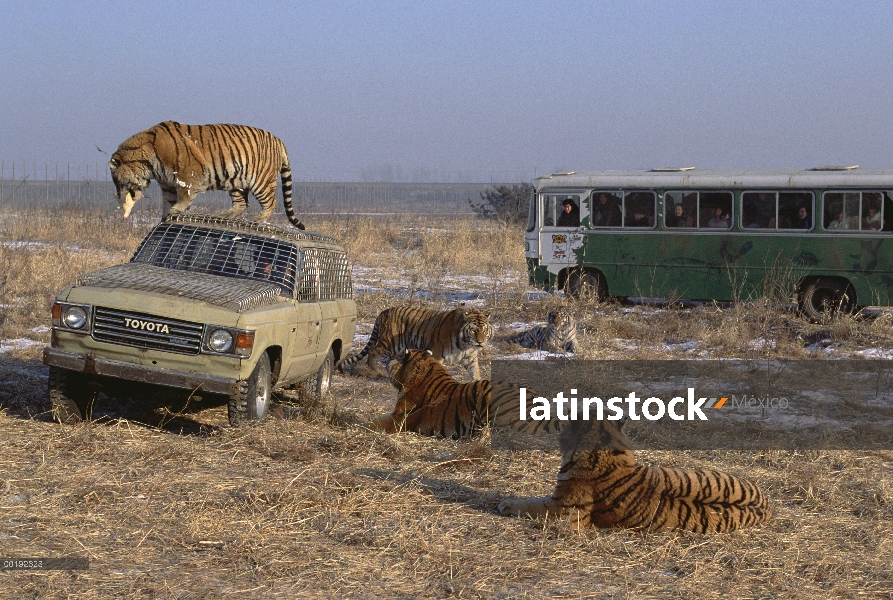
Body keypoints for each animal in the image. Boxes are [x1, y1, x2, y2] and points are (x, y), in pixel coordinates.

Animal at [106, 120, 304, 229]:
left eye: (116, 180)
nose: (118, 195)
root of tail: (278, 140)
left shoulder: (187, 174)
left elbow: (184, 195)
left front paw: (177, 209)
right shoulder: (167, 184)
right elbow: (168, 201)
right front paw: (165, 217)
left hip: (260, 181)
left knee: (271, 202)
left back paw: (258, 218)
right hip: (236, 181)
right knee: (242, 203)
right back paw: (225, 214)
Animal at [340, 304, 494, 380]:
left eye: (484, 330)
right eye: (473, 330)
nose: (481, 342)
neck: (465, 345)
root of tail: (383, 312)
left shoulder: (470, 357)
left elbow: (475, 372)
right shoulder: (437, 353)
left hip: (398, 347)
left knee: (389, 360)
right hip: (390, 343)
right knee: (373, 351)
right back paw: (374, 371)